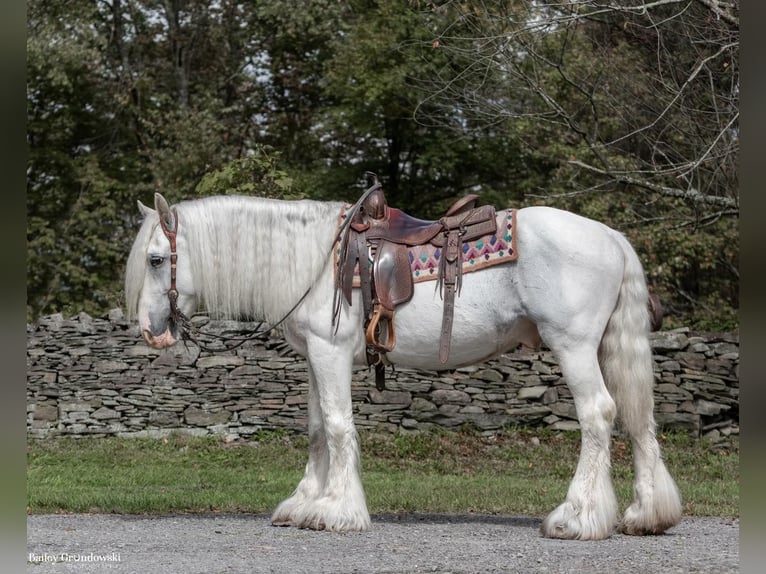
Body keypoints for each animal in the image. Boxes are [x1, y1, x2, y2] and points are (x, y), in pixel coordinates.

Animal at [126, 192, 684, 540]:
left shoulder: (329, 353)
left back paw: (578, 517)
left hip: (573, 347)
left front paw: (337, 510)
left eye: (156, 260)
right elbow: (316, 430)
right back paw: (645, 514)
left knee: (598, 415)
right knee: (638, 420)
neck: (315, 261)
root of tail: (611, 238)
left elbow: (337, 426)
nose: (151, 332)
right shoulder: (314, 358)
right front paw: (306, 504)